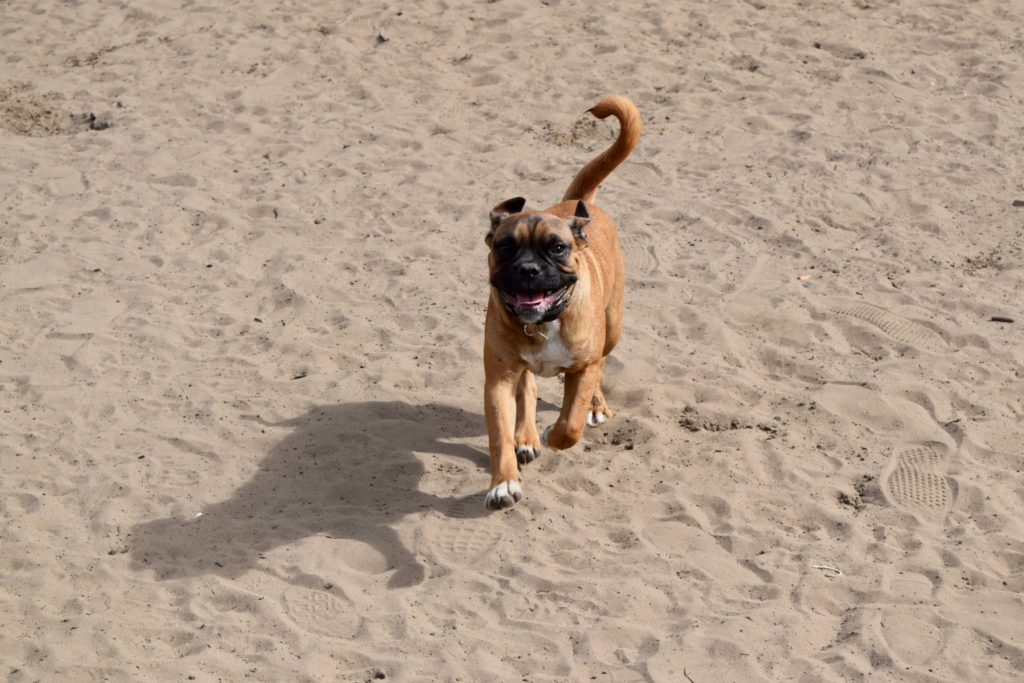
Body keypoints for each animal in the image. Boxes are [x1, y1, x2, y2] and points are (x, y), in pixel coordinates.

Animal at [481, 94, 638, 507]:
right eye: (504, 247)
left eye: (557, 248)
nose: (528, 269)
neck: (543, 324)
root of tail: (578, 204)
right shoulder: (498, 381)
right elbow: (500, 435)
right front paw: (504, 482)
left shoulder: (582, 368)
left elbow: (570, 424)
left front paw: (557, 431)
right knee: (528, 389)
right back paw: (526, 437)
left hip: (612, 328)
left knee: (600, 367)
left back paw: (594, 407)